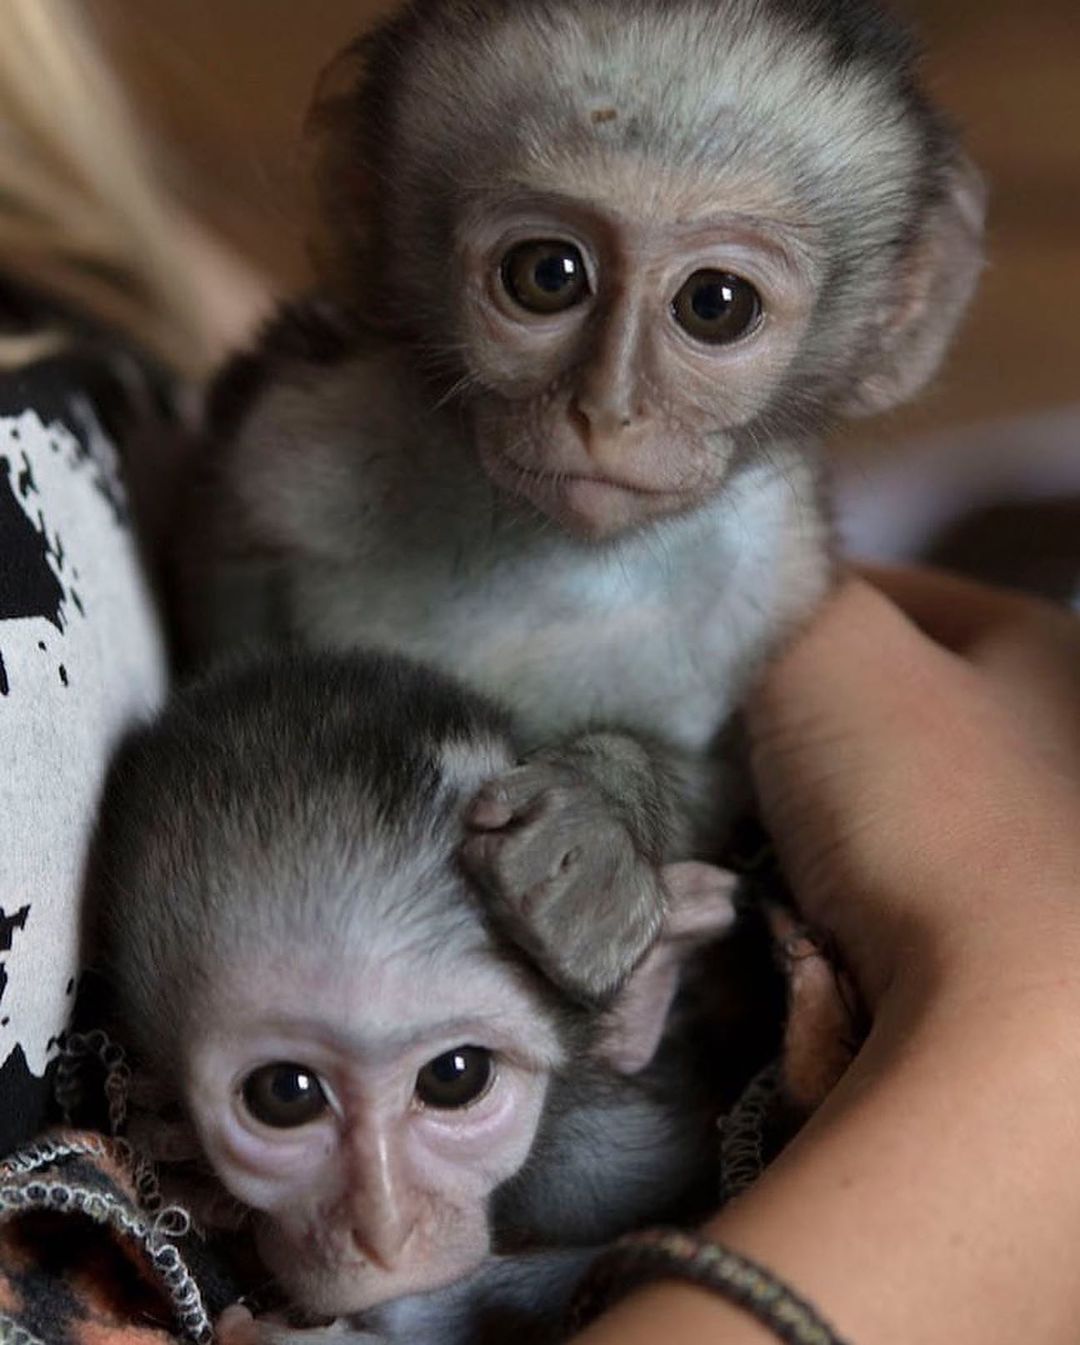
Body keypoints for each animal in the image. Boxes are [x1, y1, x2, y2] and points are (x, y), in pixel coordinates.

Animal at [176, 0, 985, 1005]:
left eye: (716, 303)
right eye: (547, 274)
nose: (606, 412)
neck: (551, 552)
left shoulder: (778, 570)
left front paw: (600, 816)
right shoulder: (299, 442)